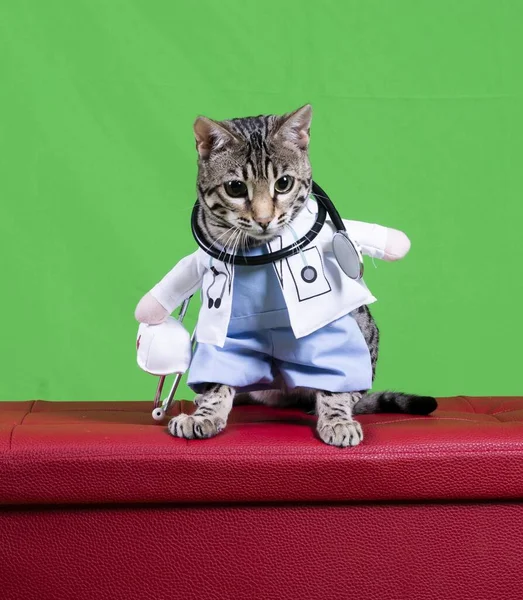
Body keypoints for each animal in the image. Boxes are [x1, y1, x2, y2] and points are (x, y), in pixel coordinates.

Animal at [167, 106, 434, 446]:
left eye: (283, 183)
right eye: (235, 188)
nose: (264, 219)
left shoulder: (330, 331)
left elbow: (334, 384)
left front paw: (337, 419)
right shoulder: (224, 333)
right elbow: (217, 381)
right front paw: (206, 414)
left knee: (353, 389)